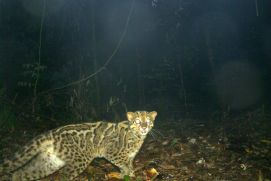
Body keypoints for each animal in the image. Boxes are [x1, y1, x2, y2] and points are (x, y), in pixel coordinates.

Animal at [0, 110, 158, 181]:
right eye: (137, 121)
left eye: (148, 121)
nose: (144, 127)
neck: (138, 137)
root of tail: (51, 133)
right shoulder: (112, 152)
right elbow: (125, 165)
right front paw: (129, 174)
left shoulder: (130, 157)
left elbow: (128, 165)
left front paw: (127, 174)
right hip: (79, 159)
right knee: (64, 174)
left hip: (50, 161)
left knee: (22, 172)